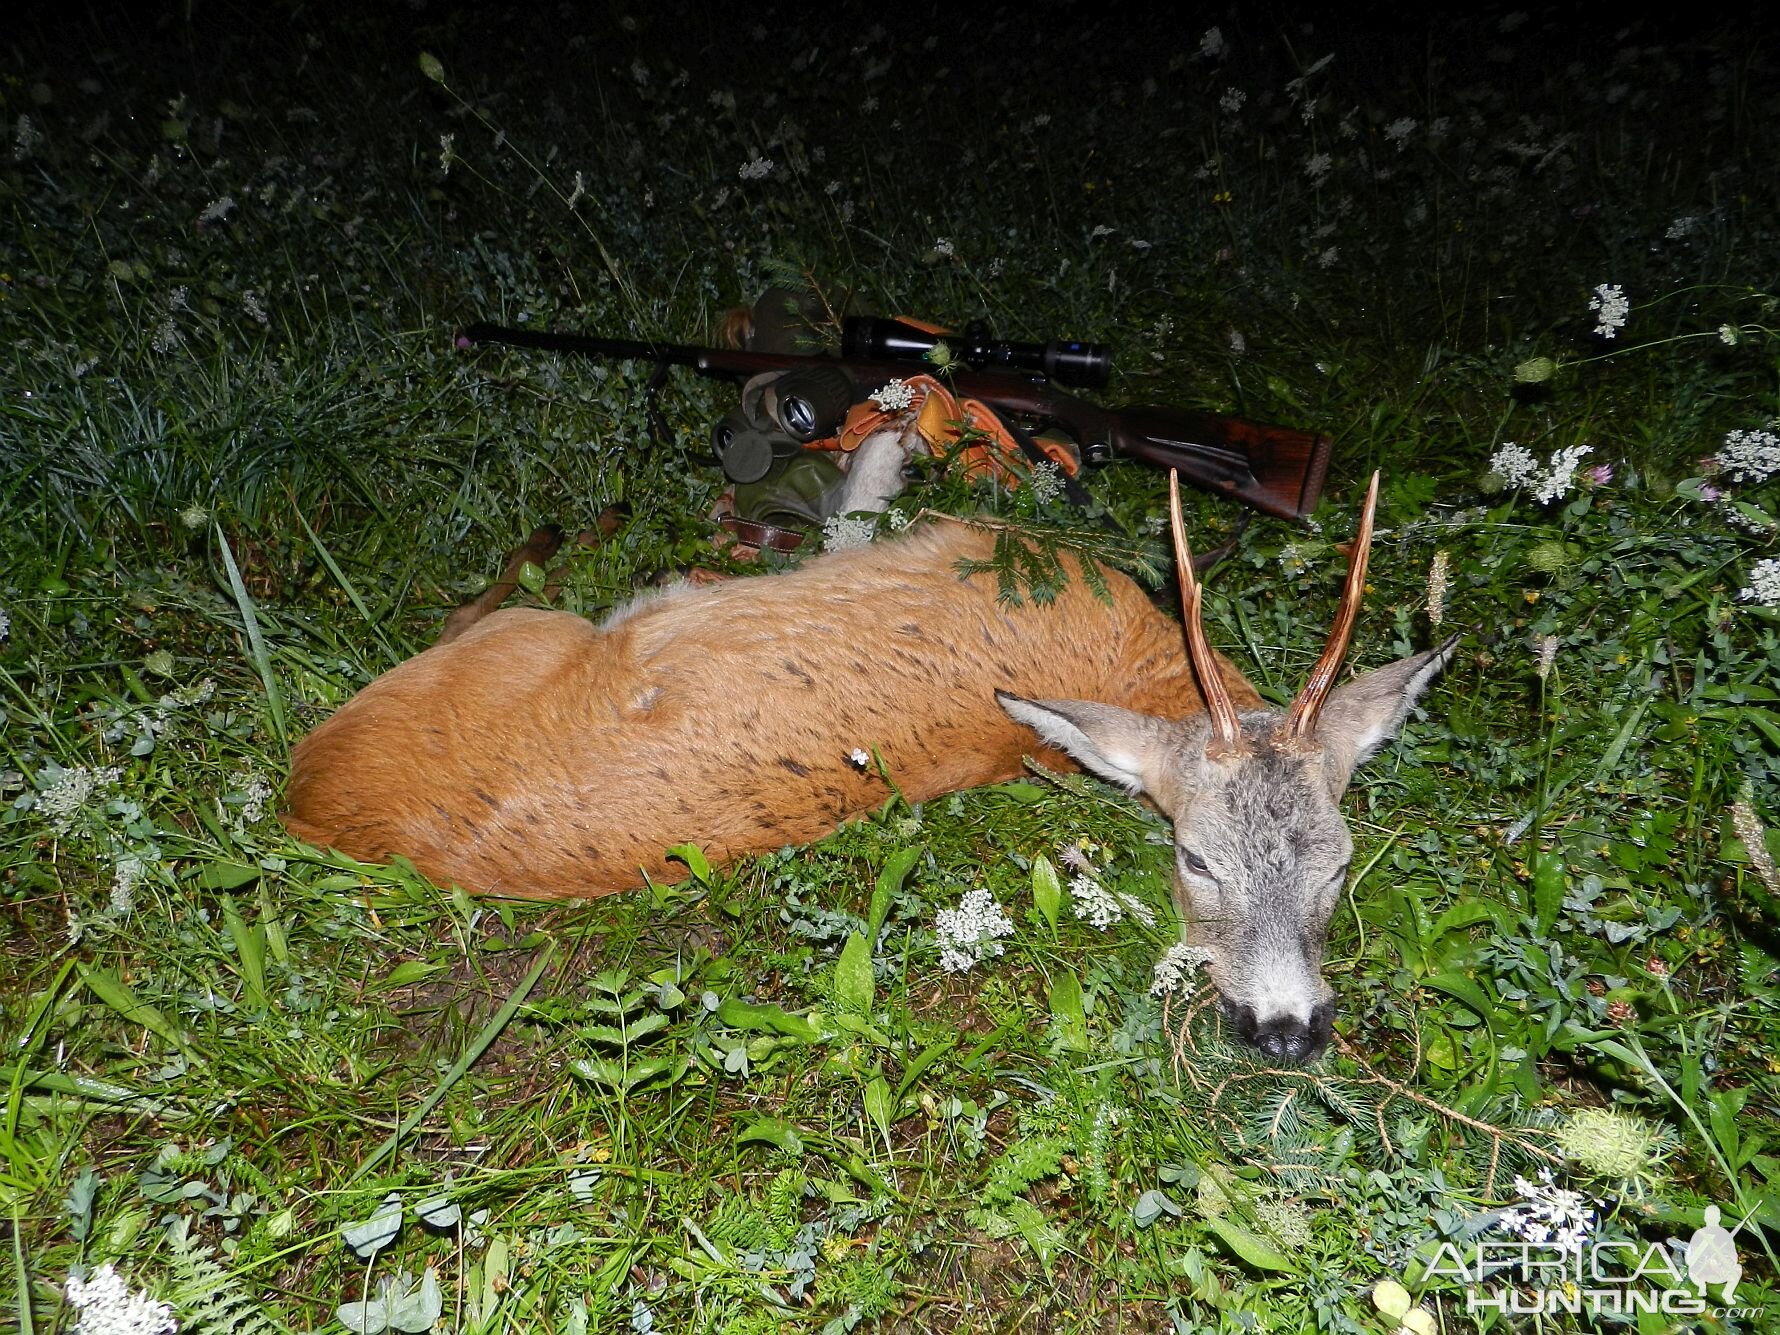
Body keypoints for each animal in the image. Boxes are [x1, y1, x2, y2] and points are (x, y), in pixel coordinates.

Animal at [281, 477, 1445, 1060]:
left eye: (1339, 863)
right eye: (1197, 860)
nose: (1286, 1032)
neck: (1138, 659)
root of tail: (311, 794)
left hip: (515, 639)